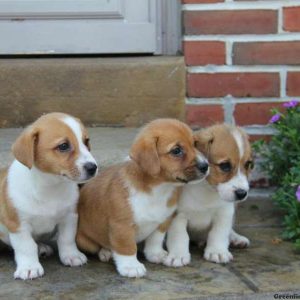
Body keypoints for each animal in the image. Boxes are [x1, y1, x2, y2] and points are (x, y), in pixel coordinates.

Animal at [0, 112, 97, 278]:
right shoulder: (18, 224)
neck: (50, 187)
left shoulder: (69, 217)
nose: (93, 168)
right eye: (63, 146)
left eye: (86, 141)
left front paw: (71, 255)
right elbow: (26, 246)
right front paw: (29, 267)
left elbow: (67, 239)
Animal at [76, 118, 209, 278]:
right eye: (176, 150)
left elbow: (155, 240)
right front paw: (131, 266)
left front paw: (155, 254)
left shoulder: (163, 221)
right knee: (98, 246)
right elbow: (127, 247)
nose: (206, 166)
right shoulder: (122, 226)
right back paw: (106, 252)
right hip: (84, 240)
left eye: (195, 144)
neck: (159, 189)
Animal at [165, 124, 254, 268]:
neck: (207, 189)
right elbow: (180, 235)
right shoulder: (178, 216)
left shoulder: (225, 213)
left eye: (248, 164)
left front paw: (217, 251)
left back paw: (236, 238)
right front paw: (178, 255)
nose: (242, 193)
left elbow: (219, 233)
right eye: (225, 165)